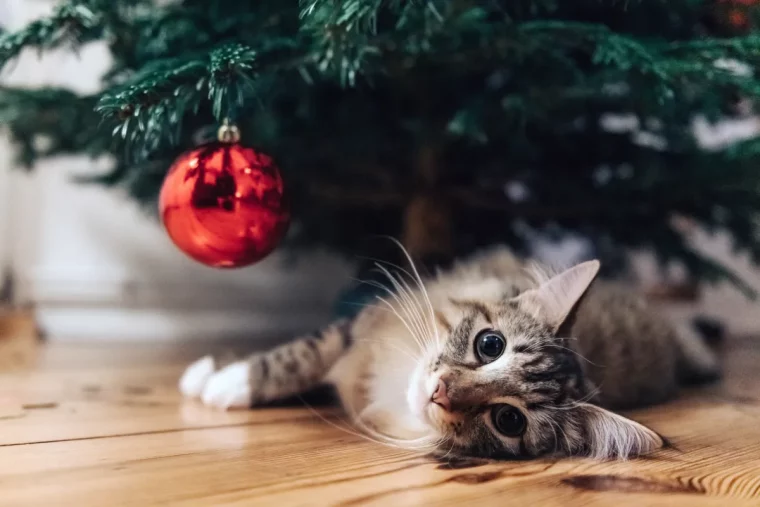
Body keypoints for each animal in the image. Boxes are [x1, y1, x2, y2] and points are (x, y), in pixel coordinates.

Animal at [178, 248, 720, 462]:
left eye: (508, 420)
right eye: (489, 344)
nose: (440, 391)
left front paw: (225, 383)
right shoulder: (359, 326)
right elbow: (300, 354)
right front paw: (220, 375)